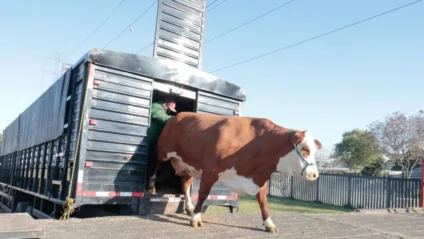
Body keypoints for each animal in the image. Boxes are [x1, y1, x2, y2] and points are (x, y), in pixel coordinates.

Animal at [156, 112, 322, 233]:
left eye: (315, 151)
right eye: (305, 149)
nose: (314, 174)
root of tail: (177, 116)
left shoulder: (259, 177)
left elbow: (263, 201)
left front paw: (269, 223)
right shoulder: (210, 170)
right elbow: (203, 194)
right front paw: (196, 218)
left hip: (190, 166)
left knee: (185, 184)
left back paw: (189, 208)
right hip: (162, 154)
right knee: (155, 169)